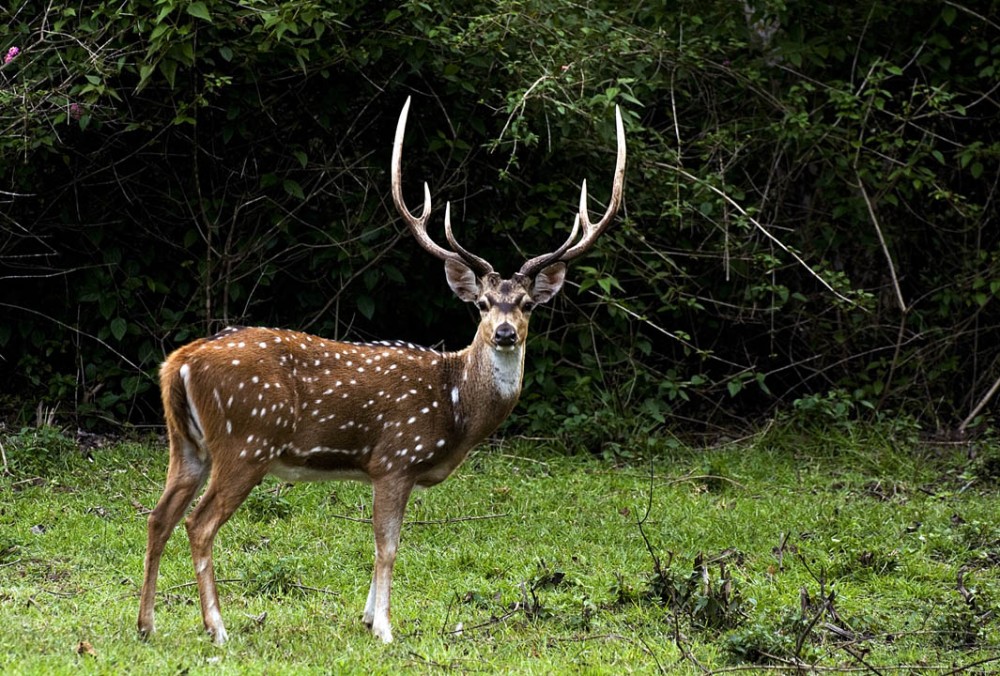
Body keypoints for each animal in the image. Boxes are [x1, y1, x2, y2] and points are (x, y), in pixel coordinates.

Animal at [137, 96, 625, 645]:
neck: (456, 408)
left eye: (526, 305)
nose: (504, 333)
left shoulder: (387, 469)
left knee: (158, 517)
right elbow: (387, 545)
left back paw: (146, 624)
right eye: (481, 304)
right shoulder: (396, 457)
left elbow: (387, 543)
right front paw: (385, 629)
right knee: (198, 524)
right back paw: (217, 629)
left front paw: (370, 616)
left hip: (187, 444)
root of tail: (179, 362)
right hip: (246, 440)